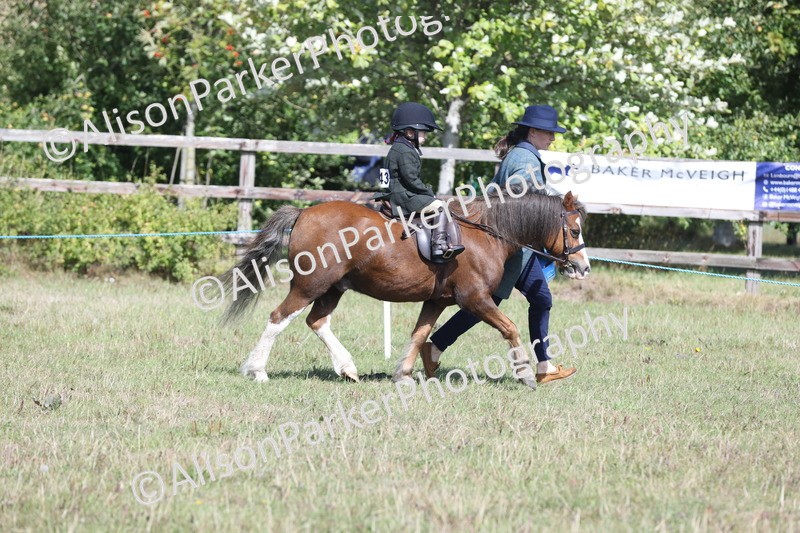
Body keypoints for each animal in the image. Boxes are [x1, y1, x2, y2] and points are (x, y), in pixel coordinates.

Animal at [221, 188, 590, 389]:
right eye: (573, 231)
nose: (583, 267)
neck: (486, 234)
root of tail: (305, 212)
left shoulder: (437, 301)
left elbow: (419, 334)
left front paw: (403, 374)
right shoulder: (475, 299)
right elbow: (511, 329)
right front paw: (526, 375)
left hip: (333, 288)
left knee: (317, 322)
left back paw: (348, 368)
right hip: (310, 284)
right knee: (278, 318)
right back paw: (257, 371)